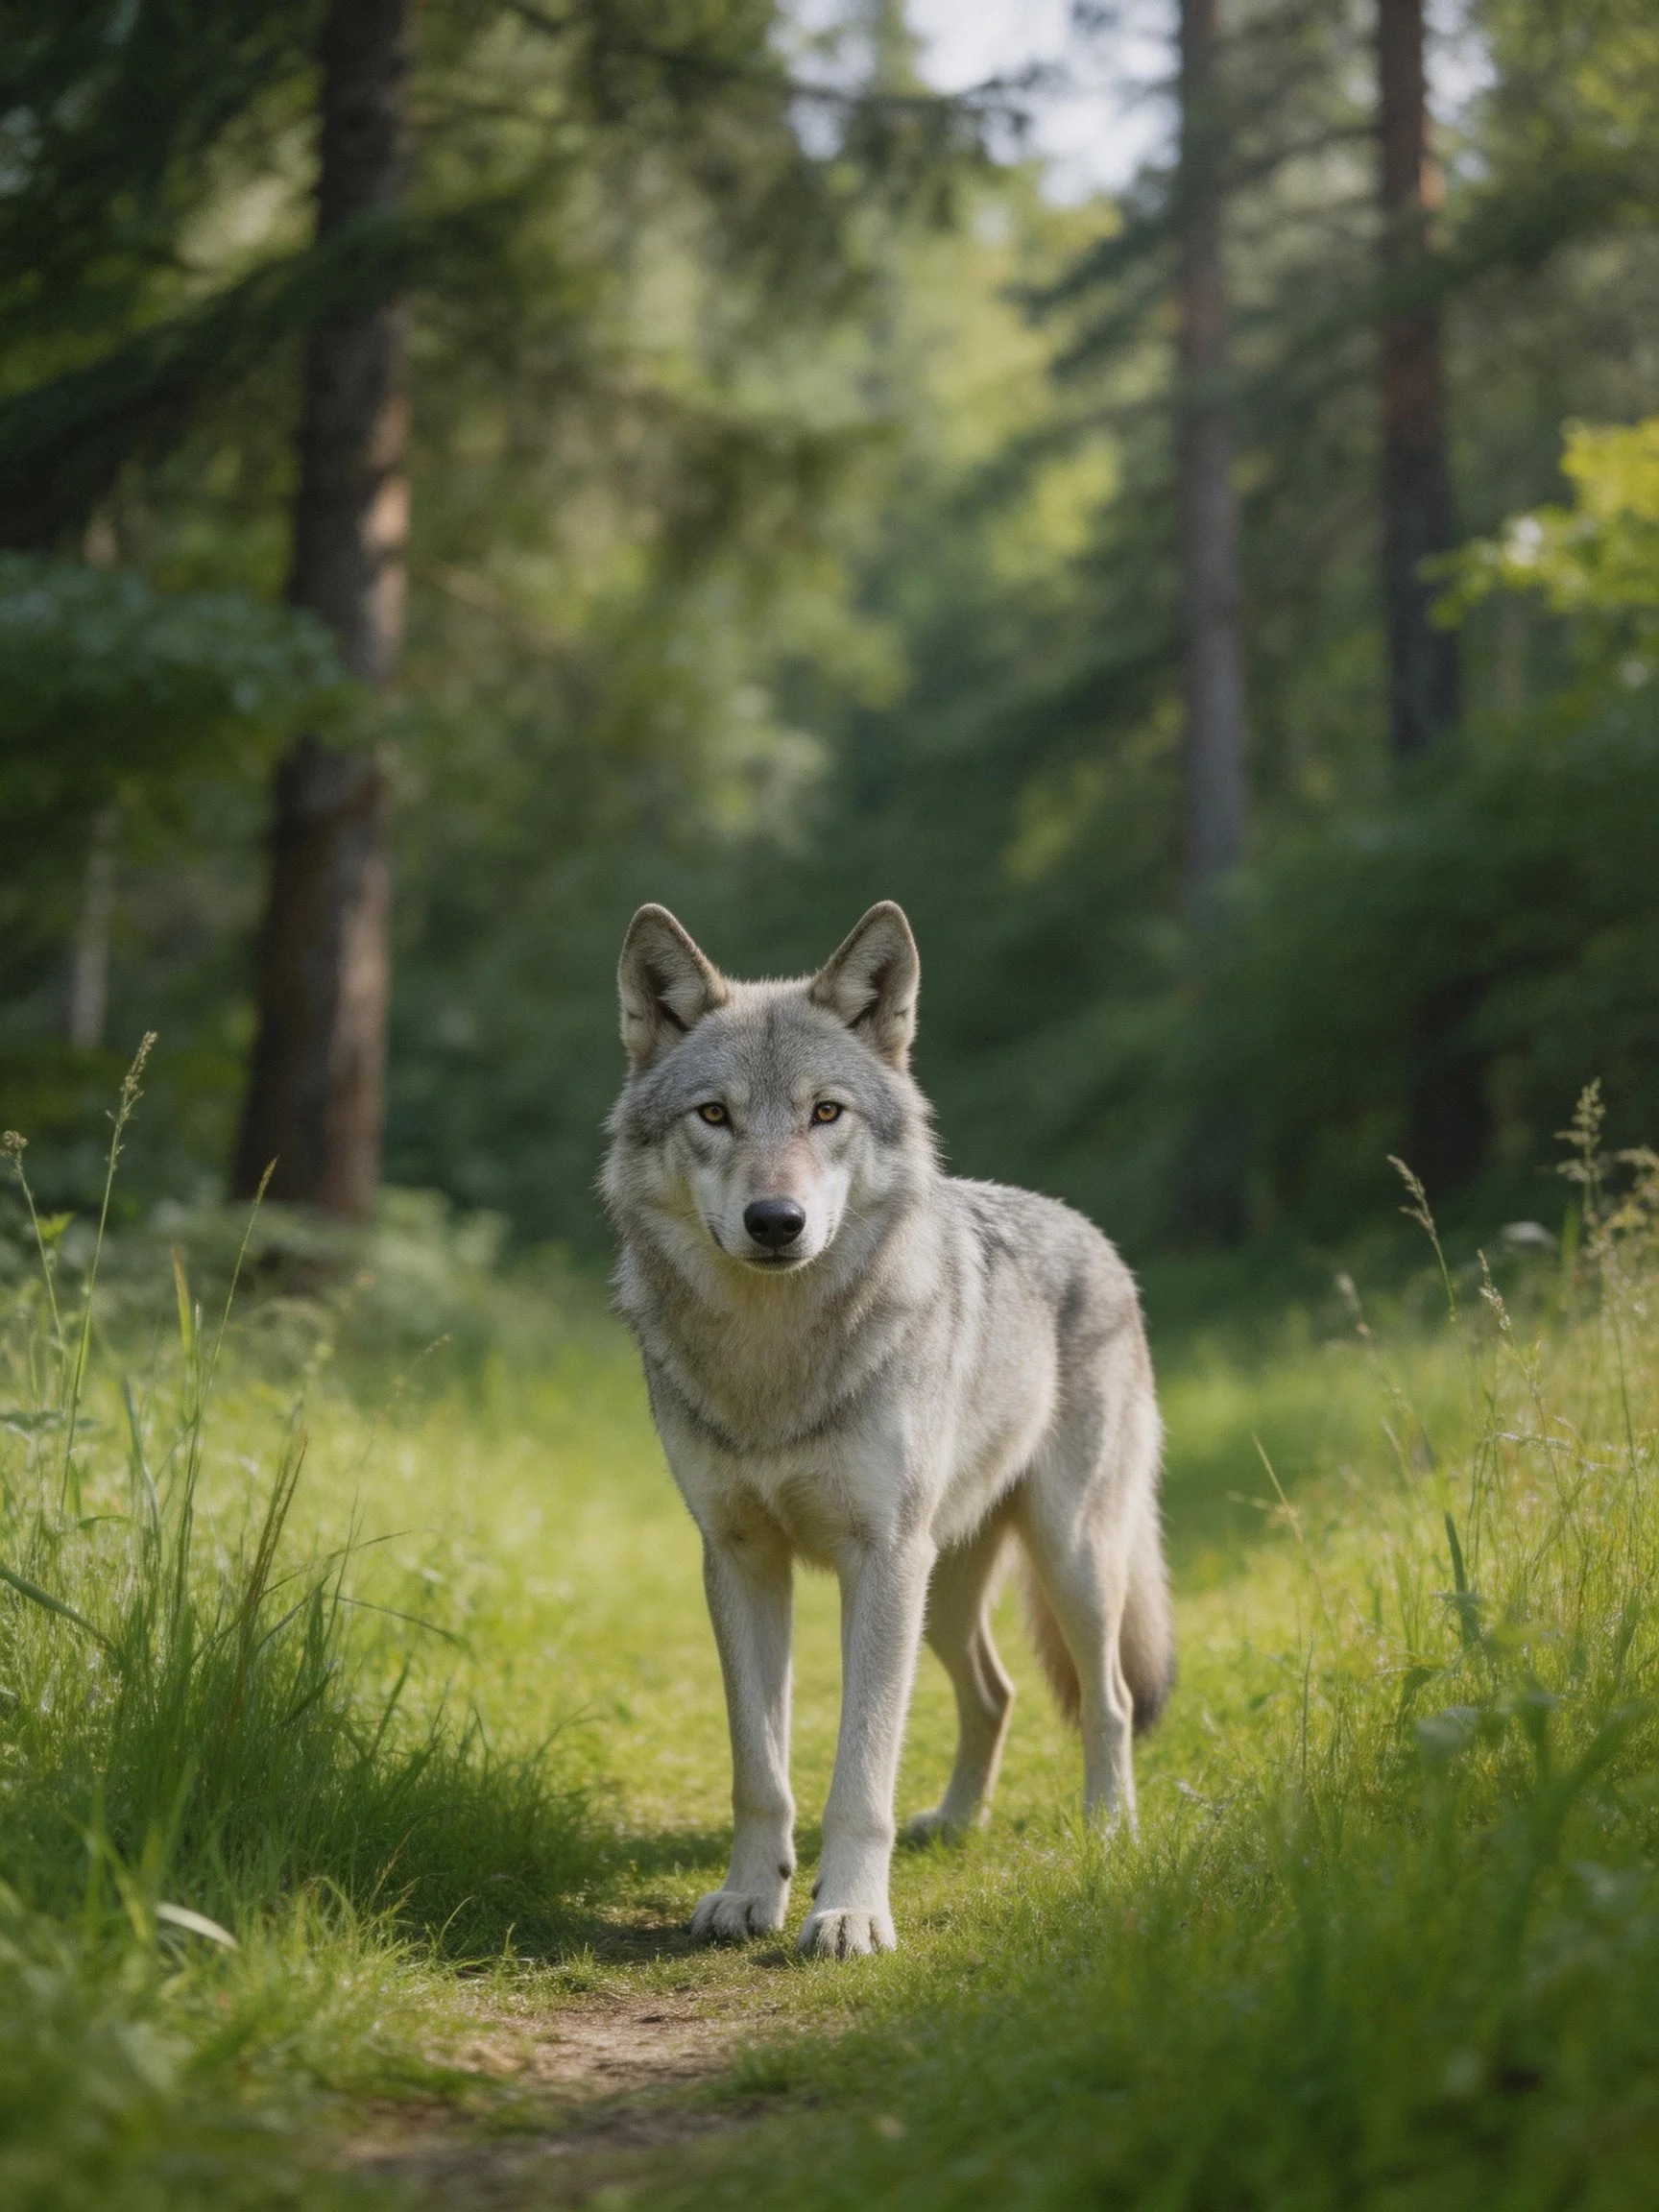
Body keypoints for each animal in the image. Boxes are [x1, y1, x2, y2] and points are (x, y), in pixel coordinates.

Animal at [602, 900, 1172, 1959]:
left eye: (826, 1113)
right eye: (715, 1115)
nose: (775, 1220)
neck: (775, 1361)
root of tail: (1091, 1232)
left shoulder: (879, 1559)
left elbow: (860, 1773)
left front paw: (851, 1913)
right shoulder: (739, 1560)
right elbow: (760, 1770)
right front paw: (750, 1896)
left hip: (1061, 1560)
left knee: (1109, 1701)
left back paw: (1110, 1831)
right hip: (941, 1594)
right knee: (997, 1692)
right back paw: (954, 1822)